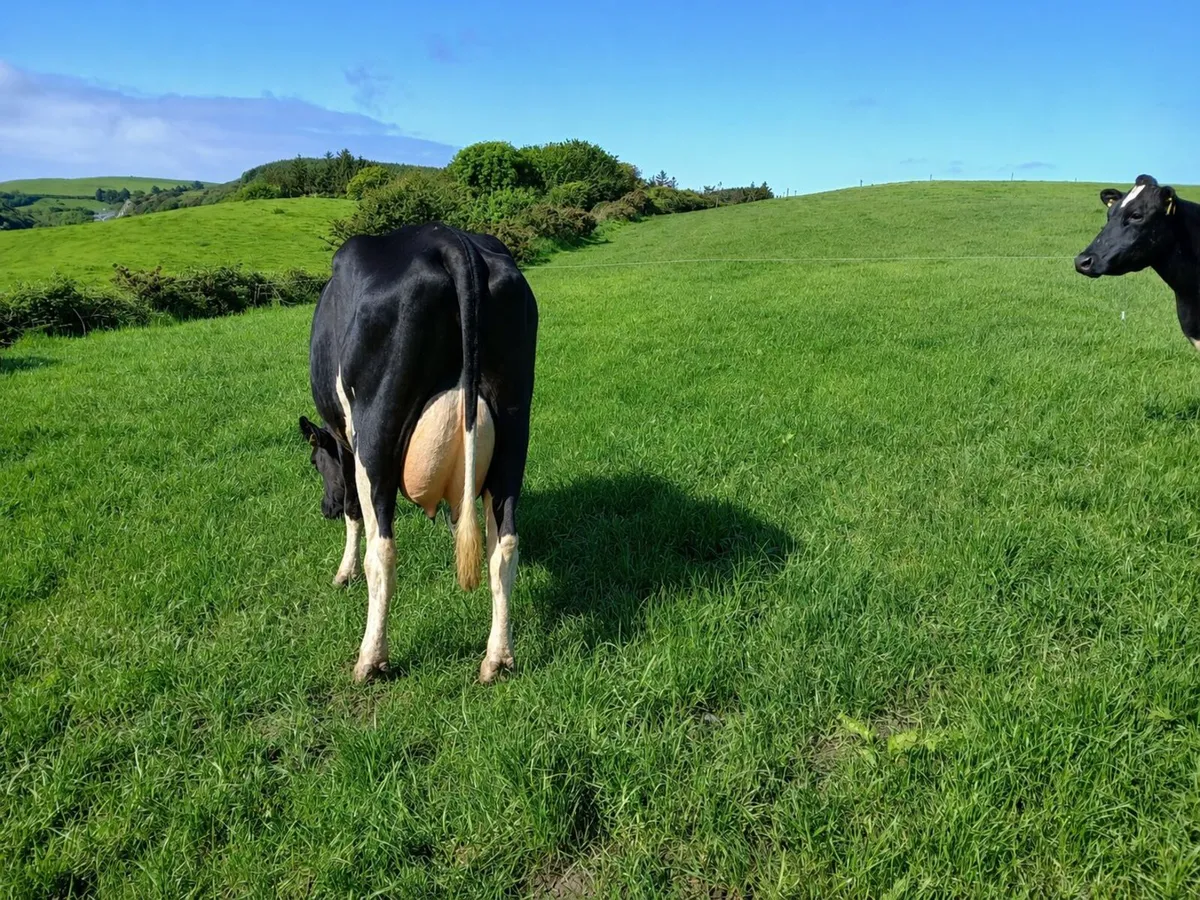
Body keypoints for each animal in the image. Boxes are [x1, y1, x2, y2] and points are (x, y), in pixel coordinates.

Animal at [298, 222, 537, 683]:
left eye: (316, 463)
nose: (324, 508)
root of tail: (449, 240)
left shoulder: (345, 440)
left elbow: (355, 514)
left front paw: (343, 572)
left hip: (376, 436)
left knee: (383, 551)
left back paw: (371, 658)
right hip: (514, 428)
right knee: (504, 543)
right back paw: (497, 658)